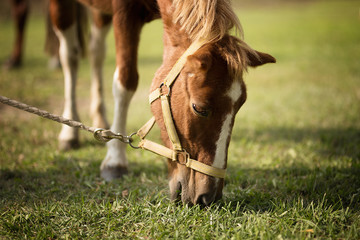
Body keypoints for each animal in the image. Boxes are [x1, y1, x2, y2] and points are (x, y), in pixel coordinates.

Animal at [48, 0, 276, 206]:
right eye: (199, 109)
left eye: (239, 107)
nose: (209, 197)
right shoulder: (123, 11)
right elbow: (125, 82)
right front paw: (115, 162)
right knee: (70, 56)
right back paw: (69, 132)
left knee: (96, 53)